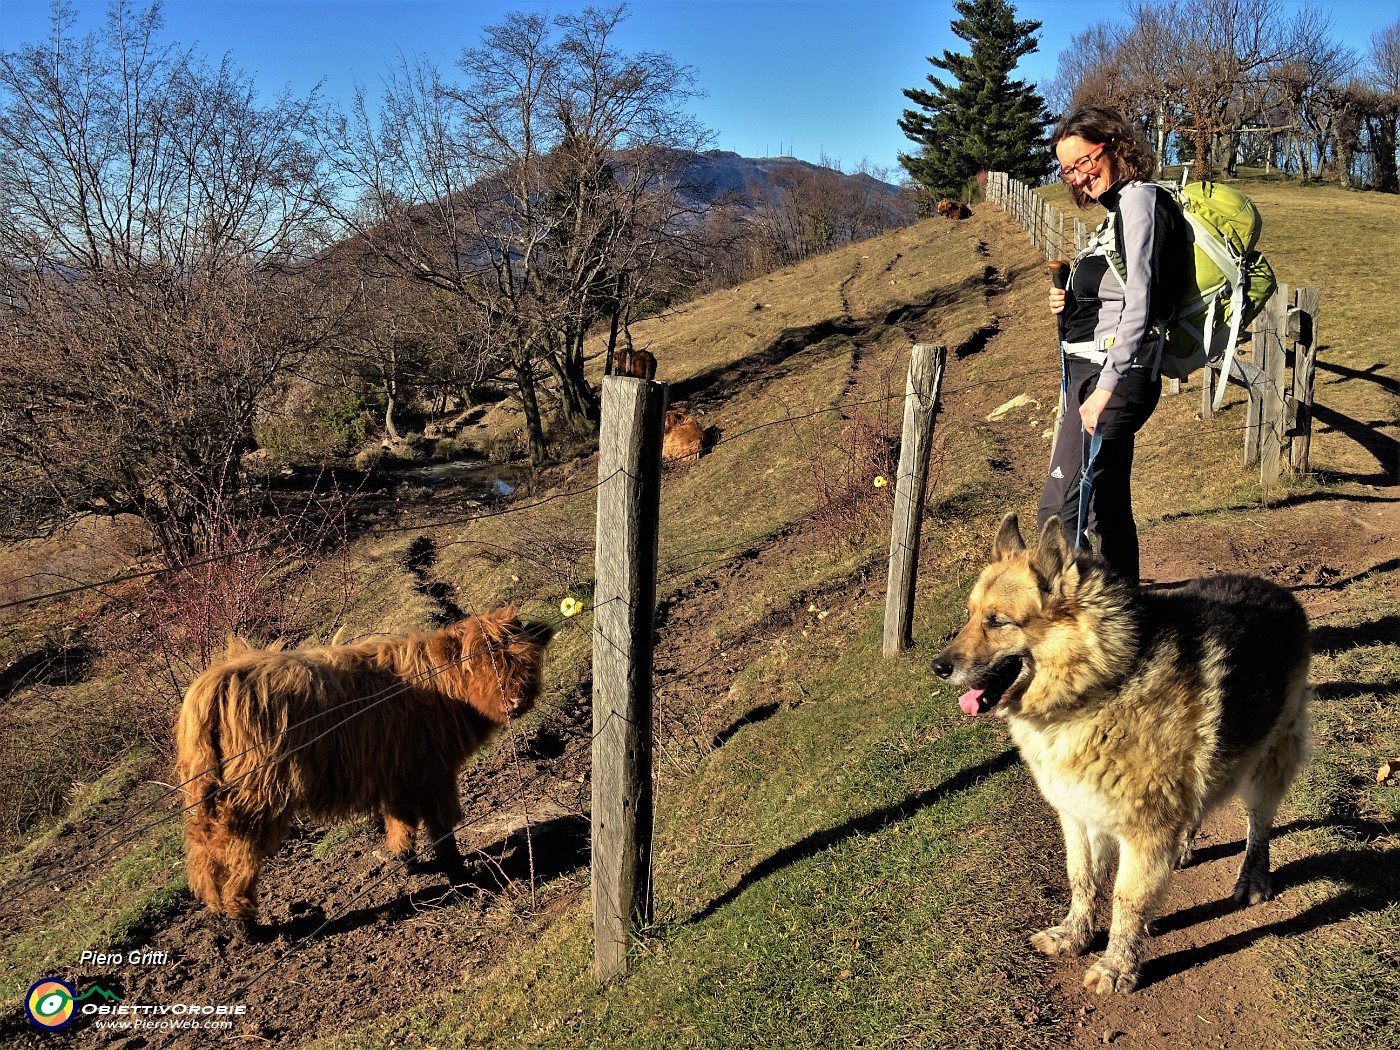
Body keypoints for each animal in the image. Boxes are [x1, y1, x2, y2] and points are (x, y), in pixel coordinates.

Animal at [172, 607, 548, 918]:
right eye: (481, 666)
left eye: (524, 660)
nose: (517, 701)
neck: (438, 687)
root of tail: (216, 683)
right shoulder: (434, 772)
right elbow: (441, 826)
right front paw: (458, 872)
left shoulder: (398, 771)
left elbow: (400, 819)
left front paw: (404, 859)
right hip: (254, 796)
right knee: (237, 848)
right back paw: (243, 919)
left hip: (208, 792)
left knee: (204, 847)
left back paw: (219, 910)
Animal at [929, 515, 1310, 996]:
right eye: (969, 616)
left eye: (998, 622)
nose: (937, 667)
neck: (1099, 686)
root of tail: (1277, 589)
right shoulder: (1080, 818)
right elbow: (1082, 880)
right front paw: (1074, 935)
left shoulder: (1143, 832)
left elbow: (1126, 901)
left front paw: (1117, 966)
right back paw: (1183, 847)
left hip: (1268, 765)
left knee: (1259, 825)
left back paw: (1254, 876)